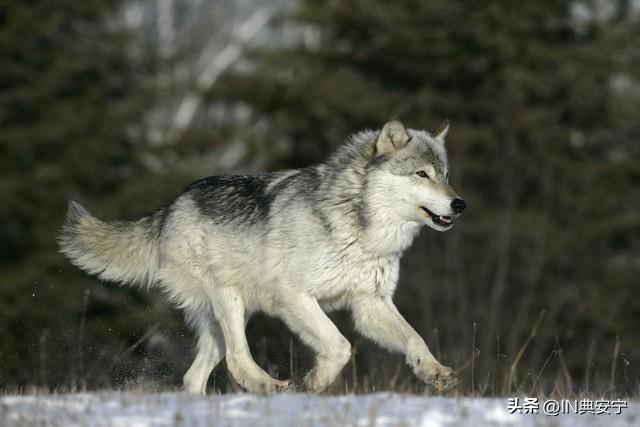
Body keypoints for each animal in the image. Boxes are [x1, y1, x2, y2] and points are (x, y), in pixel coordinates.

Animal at [58, 119, 464, 394]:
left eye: (445, 175)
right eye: (421, 174)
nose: (459, 204)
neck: (362, 231)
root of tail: (171, 206)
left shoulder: (371, 303)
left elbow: (414, 338)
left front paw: (434, 371)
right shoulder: (294, 297)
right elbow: (340, 346)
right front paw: (315, 381)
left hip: (225, 319)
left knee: (194, 376)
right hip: (229, 298)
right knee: (237, 360)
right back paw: (269, 386)